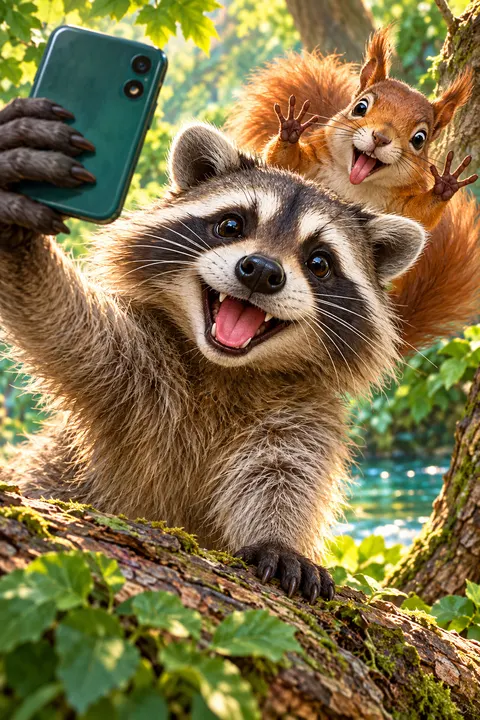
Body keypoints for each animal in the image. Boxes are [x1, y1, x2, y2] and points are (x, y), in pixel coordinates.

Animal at [0, 98, 426, 601]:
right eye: (231, 224)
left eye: (320, 262)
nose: (261, 270)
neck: (225, 368)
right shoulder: (135, 365)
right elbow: (69, 328)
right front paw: (22, 242)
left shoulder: (302, 409)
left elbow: (284, 473)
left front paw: (277, 538)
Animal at [226, 28, 480, 352]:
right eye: (360, 107)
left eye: (419, 139)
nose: (380, 137)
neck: (355, 185)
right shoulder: (309, 165)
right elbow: (282, 161)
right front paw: (290, 131)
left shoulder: (401, 206)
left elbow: (420, 216)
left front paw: (445, 186)